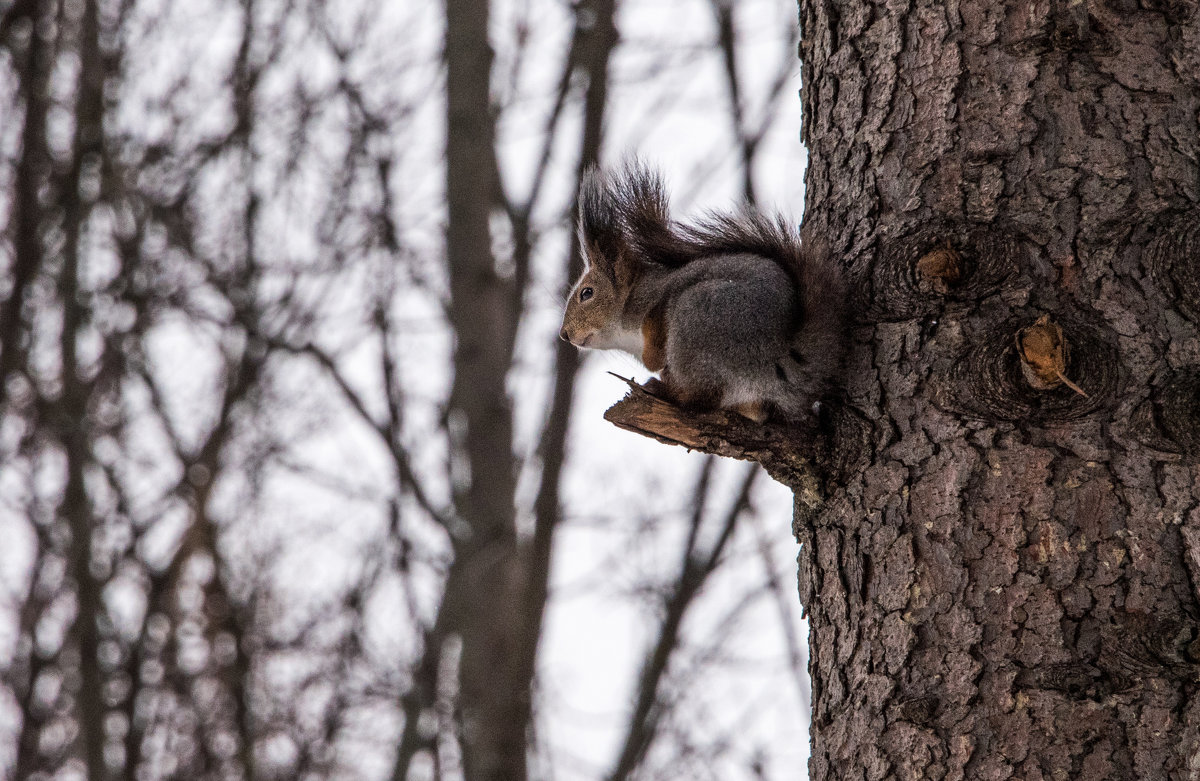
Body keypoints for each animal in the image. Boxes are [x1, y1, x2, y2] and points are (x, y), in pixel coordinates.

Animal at [559, 160, 849, 424]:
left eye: (587, 293)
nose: (564, 334)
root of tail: (779, 360)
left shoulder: (660, 297)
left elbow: (657, 320)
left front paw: (652, 360)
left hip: (696, 317)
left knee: (698, 400)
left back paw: (662, 388)